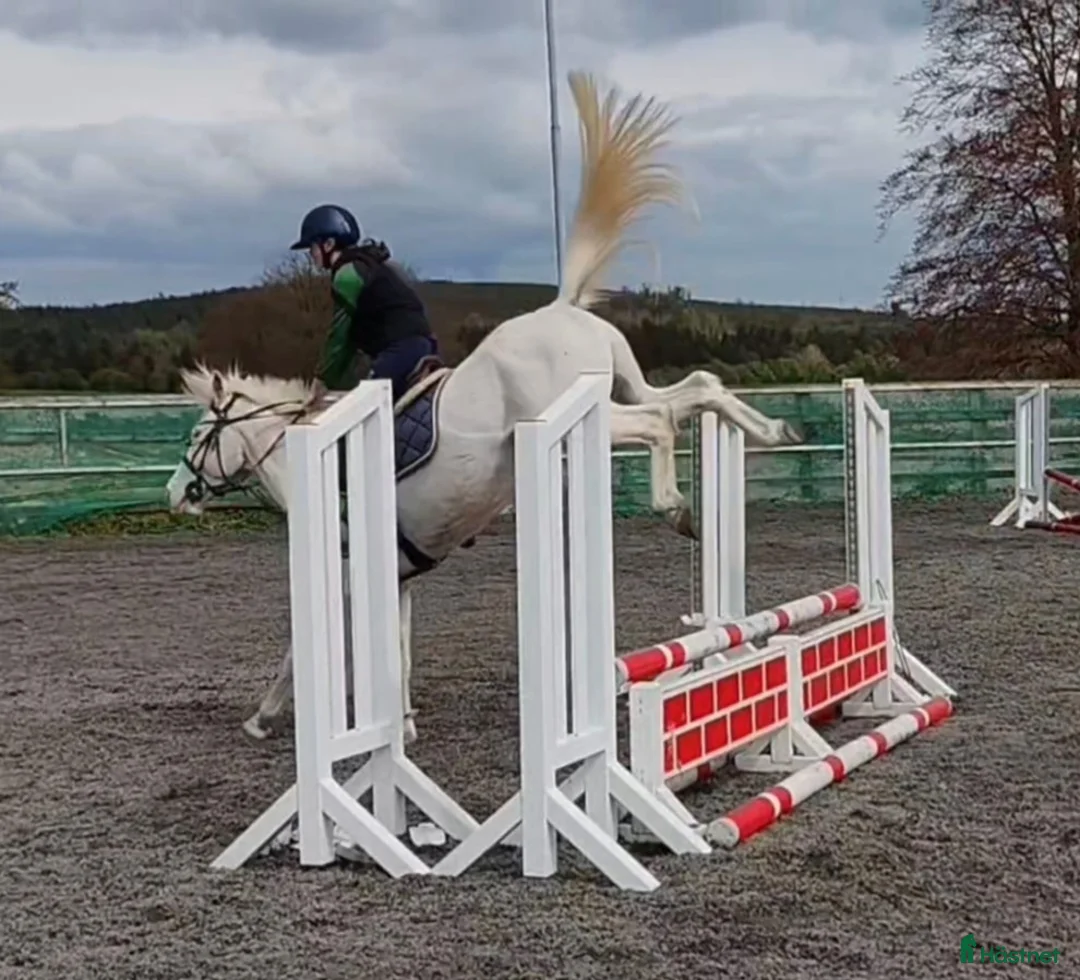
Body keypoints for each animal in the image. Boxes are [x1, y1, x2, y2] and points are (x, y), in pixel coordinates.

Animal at [164, 70, 801, 743]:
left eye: (200, 434)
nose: (174, 494)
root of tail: (564, 307)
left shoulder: (347, 574)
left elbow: (302, 652)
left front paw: (262, 717)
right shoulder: (396, 576)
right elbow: (398, 651)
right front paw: (402, 728)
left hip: (585, 417)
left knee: (656, 424)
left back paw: (677, 508)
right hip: (626, 386)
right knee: (697, 389)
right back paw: (773, 429)